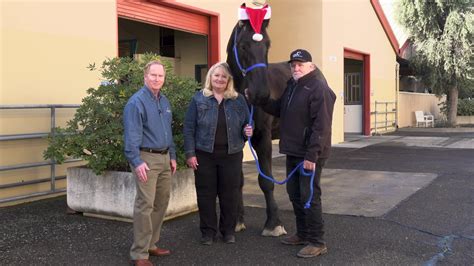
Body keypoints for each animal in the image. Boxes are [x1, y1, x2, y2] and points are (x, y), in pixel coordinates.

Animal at [225, 18, 326, 237]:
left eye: (268, 45)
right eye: (242, 45)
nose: (261, 94)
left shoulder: (262, 138)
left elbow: (267, 181)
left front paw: (273, 223)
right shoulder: (236, 140)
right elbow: (238, 180)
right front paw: (237, 220)